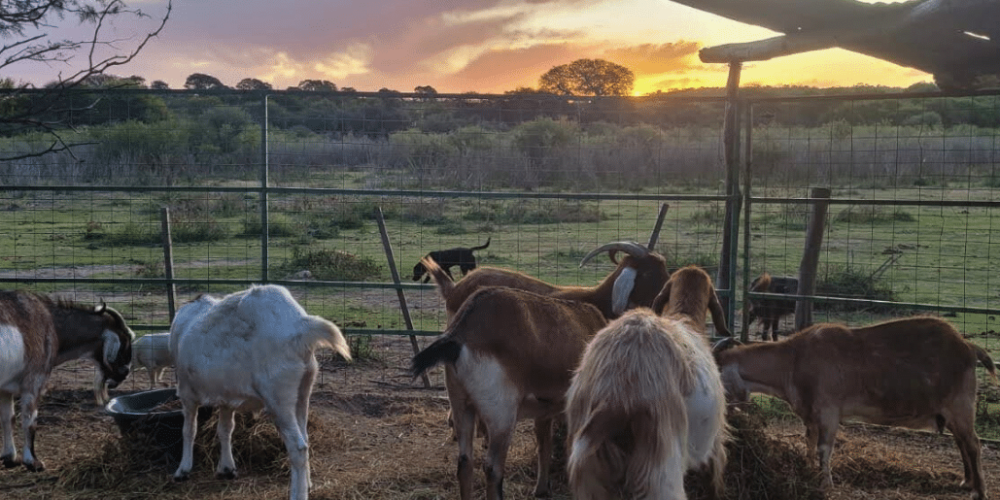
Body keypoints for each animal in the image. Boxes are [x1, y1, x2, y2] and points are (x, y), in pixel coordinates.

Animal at [0, 292, 135, 470]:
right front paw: (33, 461)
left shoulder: (5, 389)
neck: (52, 324)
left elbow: (8, 419)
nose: (124, 374)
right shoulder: (34, 380)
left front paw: (10, 457)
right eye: (125, 342)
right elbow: (30, 420)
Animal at [168, 286, 348, 500]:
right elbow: (225, 429)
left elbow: (189, 430)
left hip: (279, 398)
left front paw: (182, 470)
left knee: (298, 447)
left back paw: (297, 494)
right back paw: (307, 483)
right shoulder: (226, 397)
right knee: (305, 437)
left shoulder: (187, 392)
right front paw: (226, 468)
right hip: (303, 390)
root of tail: (300, 326)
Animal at [410, 288, 604, 500]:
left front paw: (541, 489)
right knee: (492, 468)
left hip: (461, 404)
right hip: (501, 412)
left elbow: (545, 445)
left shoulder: (544, 411)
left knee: (465, 461)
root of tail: (459, 335)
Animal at [716, 316, 996, 500]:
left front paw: (826, 484)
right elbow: (809, 443)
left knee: (972, 443)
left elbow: (824, 449)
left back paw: (979, 490)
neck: (794, 360)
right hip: (950, 412)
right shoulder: (810, 416)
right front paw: (808, 472)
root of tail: (968, 347)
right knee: (961, 442)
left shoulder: (829, 412)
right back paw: (966, 481)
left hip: (960, 405)